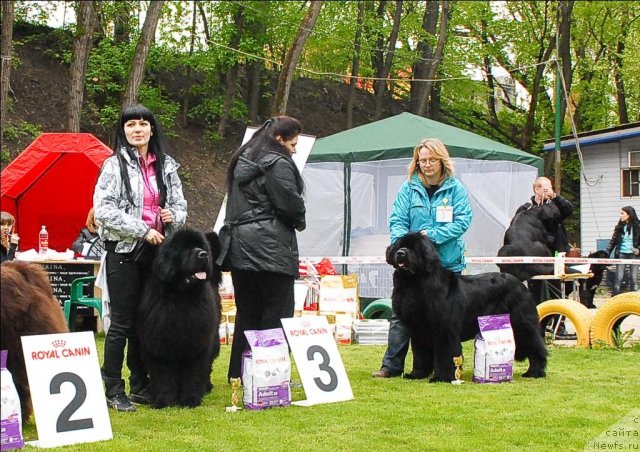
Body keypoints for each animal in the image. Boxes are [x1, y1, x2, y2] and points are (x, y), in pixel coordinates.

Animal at [138, 228, 222, 408]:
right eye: (185, 249)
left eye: (200, 246)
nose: (204, 254)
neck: (180, 296)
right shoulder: (159, 343)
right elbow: (163, 375)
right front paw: (164, 401)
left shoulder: (197, 344)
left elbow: (192, 374)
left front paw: (190, 400)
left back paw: (206, 387)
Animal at [388, 231, 548, 384]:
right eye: (399, 246)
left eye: (414, 248)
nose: (401, 253)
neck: (414, 282)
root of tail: (519, 283)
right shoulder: (419, 330)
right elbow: (420, 354)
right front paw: (416, 374)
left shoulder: (444, 329)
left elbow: (445, 354)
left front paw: (441, 377)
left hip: (521, 323)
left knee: (536, 346)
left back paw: (534, 372)